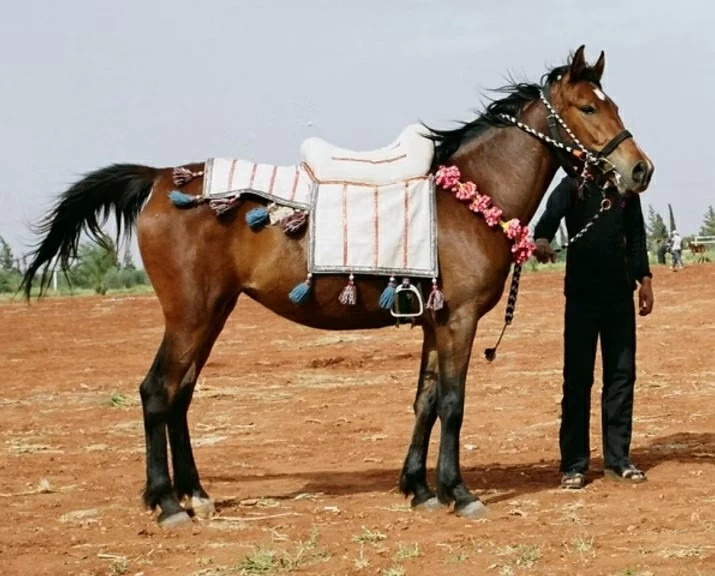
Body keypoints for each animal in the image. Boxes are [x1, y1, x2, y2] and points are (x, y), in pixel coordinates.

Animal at [20, 45, 653, 527]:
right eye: (589, 106)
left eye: (615, 103)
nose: (640, 170)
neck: (466, 197)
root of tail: (156, 179)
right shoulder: (459, 319)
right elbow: (452, 403)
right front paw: (459, 492)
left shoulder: (433, 320)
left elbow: (425, 401)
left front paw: (419, 488)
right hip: (191, 314)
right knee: (157, 392)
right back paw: (168, 503)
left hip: (211, 313)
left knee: (180, 394)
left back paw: (195, 494)